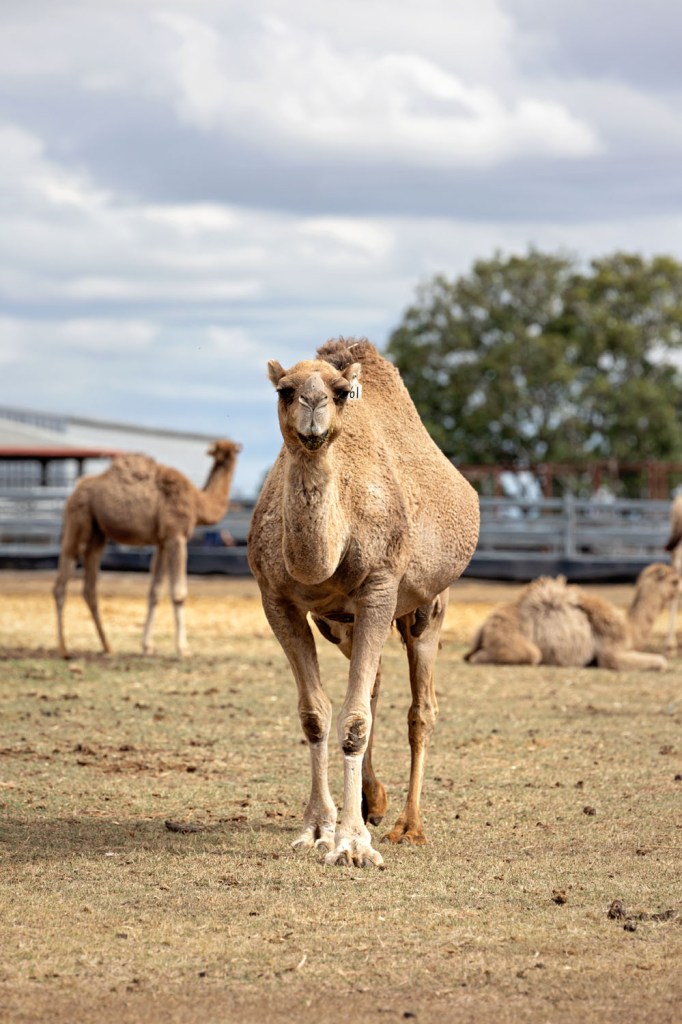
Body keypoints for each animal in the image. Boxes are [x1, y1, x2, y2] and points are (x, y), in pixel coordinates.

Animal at [54, 440, 241, 658]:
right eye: (222, 449)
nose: (224, 452)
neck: (198, 502)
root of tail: (73, 492)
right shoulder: (176, 535)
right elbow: (178, 593)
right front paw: (183, 649)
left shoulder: (162, 542)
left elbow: (155, 592)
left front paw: (147, 646)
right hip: (78, 520)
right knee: (62, 581)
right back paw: (64, 649)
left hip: (97, 532)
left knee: (89, 588)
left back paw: (108, 647)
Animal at [247, 338, 479, 868]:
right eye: (284, 389)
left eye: (338, 392)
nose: (314, 406)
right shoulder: (278, 600)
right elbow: (316, 714)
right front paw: (318, 828)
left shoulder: (379, 588)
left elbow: (354, 720)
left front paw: (352, 845)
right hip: (339, 624)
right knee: (371, 687)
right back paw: (375, 802)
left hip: (428, 606)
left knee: (420, 709)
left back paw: (408, 827)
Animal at [464, 562, 679, 671]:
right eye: (675, 581)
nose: (681, 588)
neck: (630, 629)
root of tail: (484, 627)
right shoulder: (610, 654)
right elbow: (661, 662)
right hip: (520, 645)